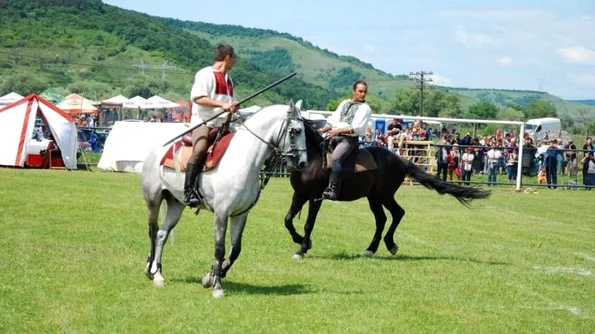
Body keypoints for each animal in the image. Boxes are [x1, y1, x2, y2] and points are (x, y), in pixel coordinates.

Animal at [140, 101, 308, 298]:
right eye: (296, 131)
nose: (303, 163)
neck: (245, 160)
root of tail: (156, 149)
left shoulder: (240, 214)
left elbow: (235, 250)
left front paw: (210, 276)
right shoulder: (221, 213)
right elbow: (220, 248)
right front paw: (217, 286)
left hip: (176, 204)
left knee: (161, 235)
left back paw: (158, 274)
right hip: (153, 200)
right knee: (153, 231)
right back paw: (149, 269)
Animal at [286, 120, 492, 258]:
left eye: (294, 131)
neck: (312, 159)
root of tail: (400, 159)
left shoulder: (315, 197)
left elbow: (308, 223)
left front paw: (302, 249)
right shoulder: (299, 194)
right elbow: (288, 220)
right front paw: (303, 242)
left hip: (384, 195)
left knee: (397, 213)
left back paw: (389, 245)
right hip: (374, 197)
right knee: (382, 219)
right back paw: (371, 249)